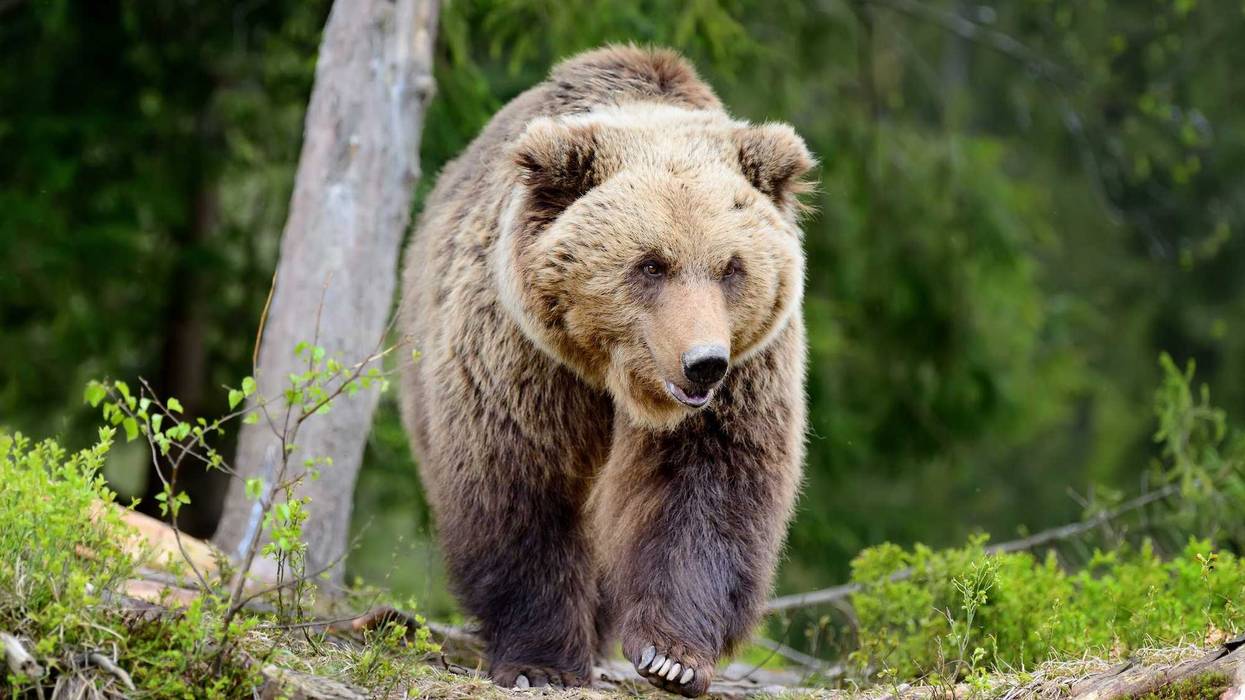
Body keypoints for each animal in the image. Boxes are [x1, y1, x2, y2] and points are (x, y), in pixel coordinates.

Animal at [398, 45, 812, 697]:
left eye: (732, 267)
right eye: (650, 264)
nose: (703, 364)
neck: (617, 380)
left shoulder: (746, 375)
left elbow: (706, 491)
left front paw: (671, 657)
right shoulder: (525, 359)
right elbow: (524, 487)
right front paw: (540, 662)